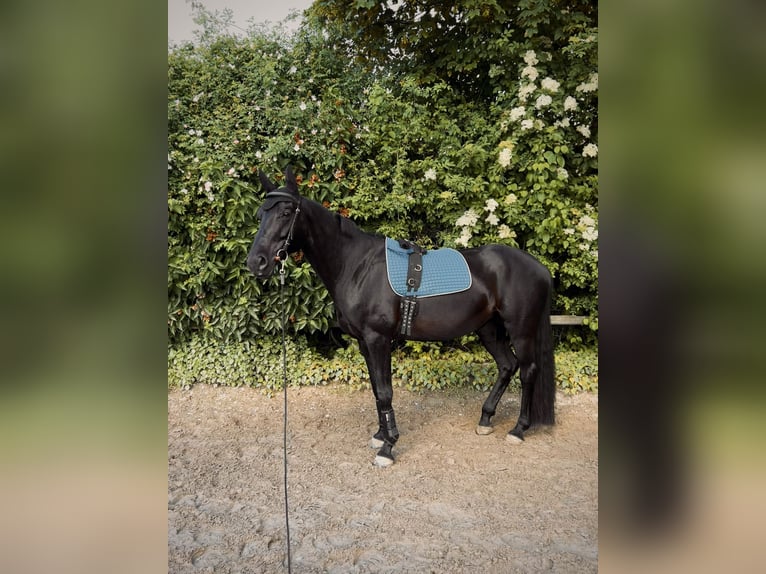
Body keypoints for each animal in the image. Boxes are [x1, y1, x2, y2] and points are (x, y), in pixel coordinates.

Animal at [249, 166, 556, 468]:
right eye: (260, 214)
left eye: (285, 213)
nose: (256, 262)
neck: (356, 266)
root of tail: (539, 268)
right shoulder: (364, 342)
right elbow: (376, 390)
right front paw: (379, 435)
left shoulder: (378, 339)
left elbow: (386, 392)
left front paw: (388, 447)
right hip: (488, 329)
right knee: (507, 366)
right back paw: (486, 418)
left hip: (521, 331)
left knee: (527, 370)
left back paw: (518, 429)